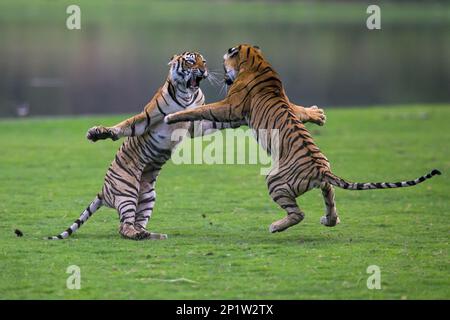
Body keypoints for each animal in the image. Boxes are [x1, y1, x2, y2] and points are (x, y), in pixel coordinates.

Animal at [46, 50, 326, 240]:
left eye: (204, 62)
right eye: (191, 62)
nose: (202, 71)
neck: (187, 94)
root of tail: (104, 191)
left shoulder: (199, 124)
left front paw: (315, 114)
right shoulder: (147, 118)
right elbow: (126, 125)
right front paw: (98, 133)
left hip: (147, 195)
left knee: (134, 223)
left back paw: (150, 234)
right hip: (127, 191)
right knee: (123, 228)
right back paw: (140, 234)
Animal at [164, 45, 440, 234]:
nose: (219, 74)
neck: (258, 61)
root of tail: (322, 170)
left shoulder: (230, 105)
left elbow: (202, 109)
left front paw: (173, 116)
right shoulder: (287, 103)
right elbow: (300, 110)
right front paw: (318, 115)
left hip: (274, 179)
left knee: (299, 213)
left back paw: (276, 226)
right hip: (325, 186)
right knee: (330, 202)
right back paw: (329, 220)